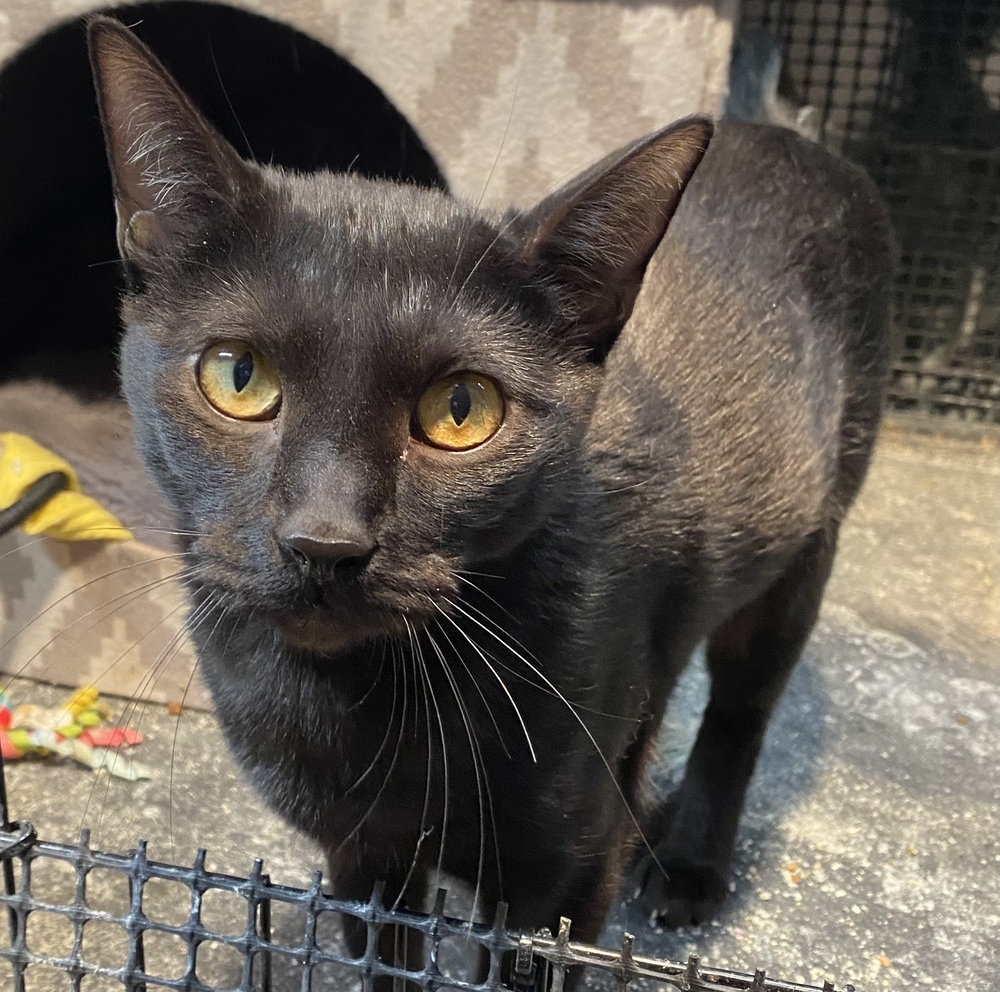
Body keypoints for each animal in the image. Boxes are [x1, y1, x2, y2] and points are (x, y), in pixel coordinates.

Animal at [90, 13, 896, 984]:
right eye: (238, 377)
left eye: (462, 411)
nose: (325, 540)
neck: (360, 707)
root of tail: (788, 133)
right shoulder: (363, 860)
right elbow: (386, 959)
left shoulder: (559, 885)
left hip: (804, 553)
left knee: (740, 713)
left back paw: (688, 864)